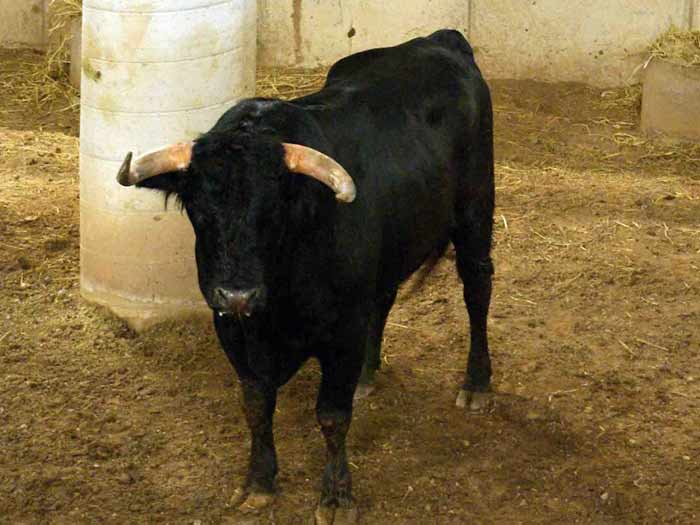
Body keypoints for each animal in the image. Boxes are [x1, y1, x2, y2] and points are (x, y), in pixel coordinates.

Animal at [117, 29, 494, 524]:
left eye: (274, 210)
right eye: (198, 210)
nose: (238, 294)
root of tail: (440, 40)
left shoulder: (341, 331)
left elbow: (332, 415)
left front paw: (336, 497)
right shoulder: (231, 329)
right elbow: (256, 405)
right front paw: (259, 481)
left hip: (475, 215)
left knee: (477, 289)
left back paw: (477, 384)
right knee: (384, 299)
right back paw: (367, 375)